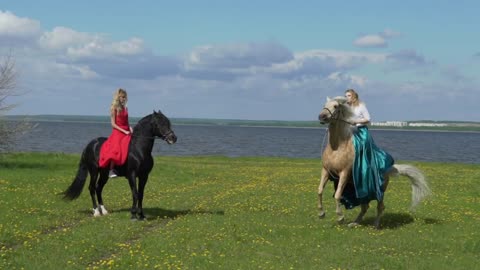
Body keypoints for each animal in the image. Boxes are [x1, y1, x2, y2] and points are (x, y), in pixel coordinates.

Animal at [316, 96, 430, 228]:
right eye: (324, 105)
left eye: (335, 106)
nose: (322, 117)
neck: (337, 148)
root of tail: (390, 167)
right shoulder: (325, 171)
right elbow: (319, 190)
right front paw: (321, 213)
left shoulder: (344, 173)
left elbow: (338, 195)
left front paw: (340, 217)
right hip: (360, 191)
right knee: (365, 206)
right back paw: (354, 223)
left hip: (380, 190)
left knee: (380, 207)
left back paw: (375, 225)